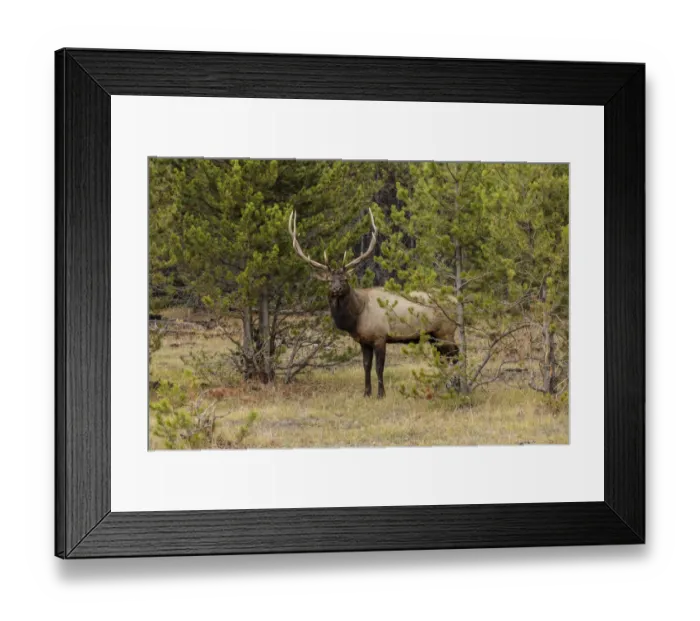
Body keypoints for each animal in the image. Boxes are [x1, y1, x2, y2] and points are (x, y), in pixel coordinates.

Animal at [288, 208, 458, 398]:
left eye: (345, 279)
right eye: (329, 281)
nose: (336, 288)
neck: (357, 317)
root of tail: (457, 300)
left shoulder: (380, 336)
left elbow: (379, 367)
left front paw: (381, 394)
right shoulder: (364, 341)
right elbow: (366, 366)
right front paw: (366, 393)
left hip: (446, 331)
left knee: (455, 355)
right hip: (434, 336)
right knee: (445, 358)